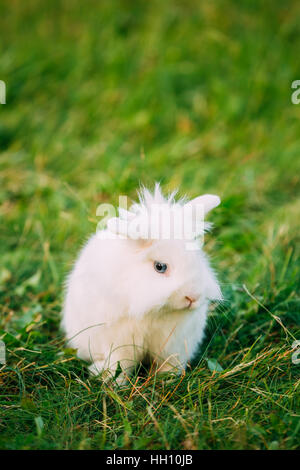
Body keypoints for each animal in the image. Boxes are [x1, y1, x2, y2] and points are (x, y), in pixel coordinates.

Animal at [61, 182, 220, 384]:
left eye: (197, 257)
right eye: (160, 267)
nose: (193, 297)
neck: (156, 311)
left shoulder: (173, 343)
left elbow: (169, 363)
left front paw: (167, 380)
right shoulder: (119, 341)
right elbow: (120, 365)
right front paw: (114, 384)